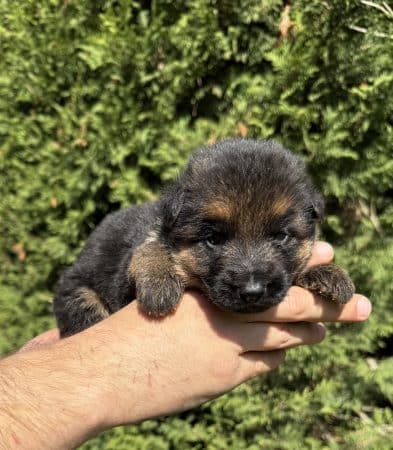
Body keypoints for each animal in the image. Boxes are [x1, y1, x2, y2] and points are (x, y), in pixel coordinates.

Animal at [53, 139, 354, 336]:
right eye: (213, 239)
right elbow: (149, 248)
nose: (253, 291)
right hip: (77, 291)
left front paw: (327, 273)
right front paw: (159, 282)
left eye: (281, 236)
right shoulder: (122, 288)